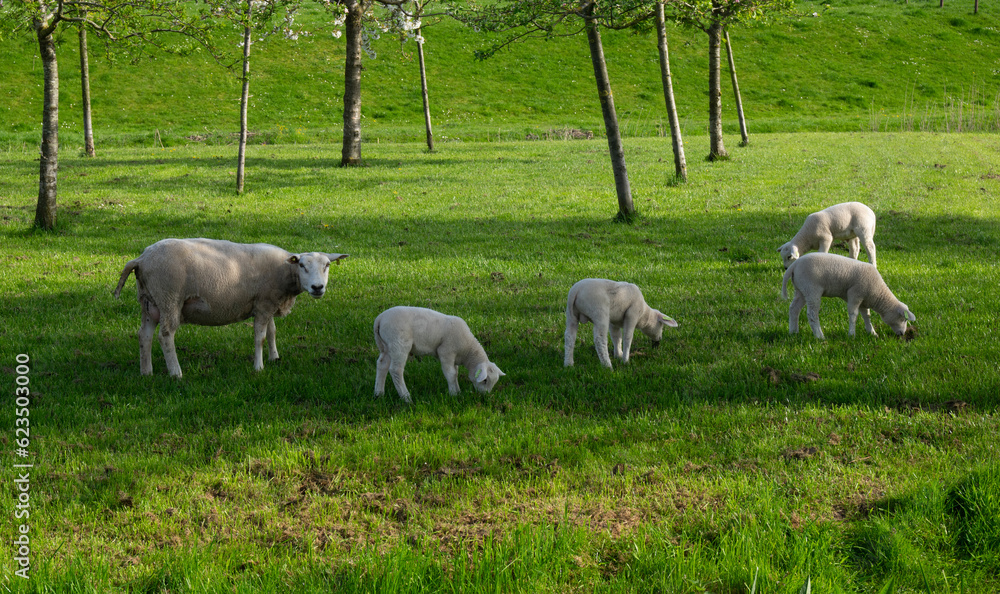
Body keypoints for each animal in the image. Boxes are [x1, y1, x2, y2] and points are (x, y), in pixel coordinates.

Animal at [112, 236, 348, 374]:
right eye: (302, 265)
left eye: (327, 265)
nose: (318, 287)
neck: (285, 271)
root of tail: (141, 259)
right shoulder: (264, 304)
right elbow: (260, 337)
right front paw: (259, 367)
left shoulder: (268, 302)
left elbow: (272, 332)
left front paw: (275, 358)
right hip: (169, 298)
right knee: (165, 335)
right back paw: (176, 373)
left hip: (150, 301)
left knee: (144, 335)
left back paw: (146, 372)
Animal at [372, 306, 504, 402]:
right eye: (485, 380)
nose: (485, 397)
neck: (467, 349)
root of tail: (380, 318)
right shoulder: (446, 352)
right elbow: (450, 374)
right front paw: (454, 394)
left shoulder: (454, 358)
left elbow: (455, 373)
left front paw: (458, 391)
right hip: (399, 344)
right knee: (396, 370)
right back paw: (406, 398)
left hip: (386, 346)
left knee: (382, 365)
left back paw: (379, 394)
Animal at [780, 252, 916, 340]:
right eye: (903, 319)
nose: (902, 334)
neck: (877, 293)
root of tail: (794, 265)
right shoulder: (855, 294)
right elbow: (853, 314)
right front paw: (852, 335)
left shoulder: (863, 300)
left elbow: (866, 315)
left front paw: (872, 332)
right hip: (812, 289)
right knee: (812, 314)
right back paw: (819, 336)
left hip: (801, 290)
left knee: (794, 309)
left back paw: (793, 332)